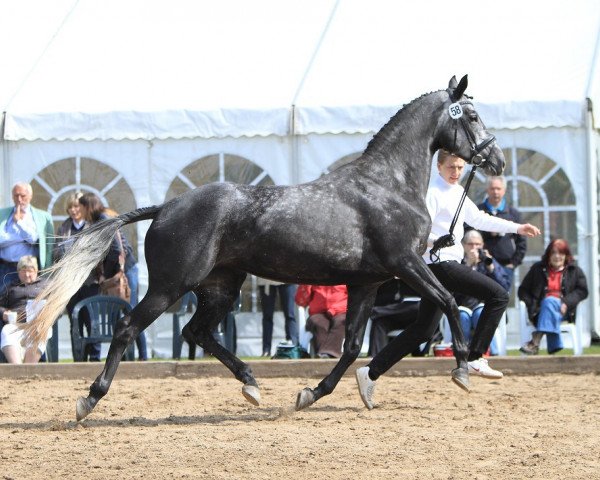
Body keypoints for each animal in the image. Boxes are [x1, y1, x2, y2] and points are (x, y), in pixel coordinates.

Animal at [23, 75, 504, 420]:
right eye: (471, 115)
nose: (496, 160)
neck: (387, 187)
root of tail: (166, 206)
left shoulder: (367, 283)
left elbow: (352, 346)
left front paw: (311, 393)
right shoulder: (407, 264)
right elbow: (446, 300)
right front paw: (462, 369)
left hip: (221, 287)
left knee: (197, 332)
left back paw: (251, 384)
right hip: (170, 286)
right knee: (127, 327)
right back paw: (89, 399)